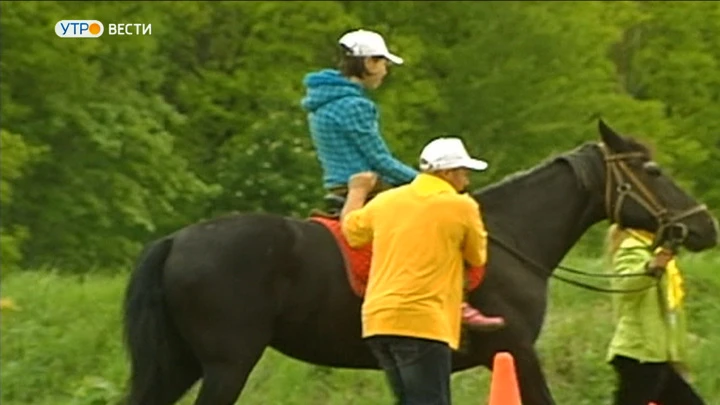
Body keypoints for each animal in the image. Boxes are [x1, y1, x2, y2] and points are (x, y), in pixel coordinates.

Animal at [124, 120, 720, 404]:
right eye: (653, 169)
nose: (703, 226)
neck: (509, 237)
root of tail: (175, 242)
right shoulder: (514, 352)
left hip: (180, 363)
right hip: (227, 364)